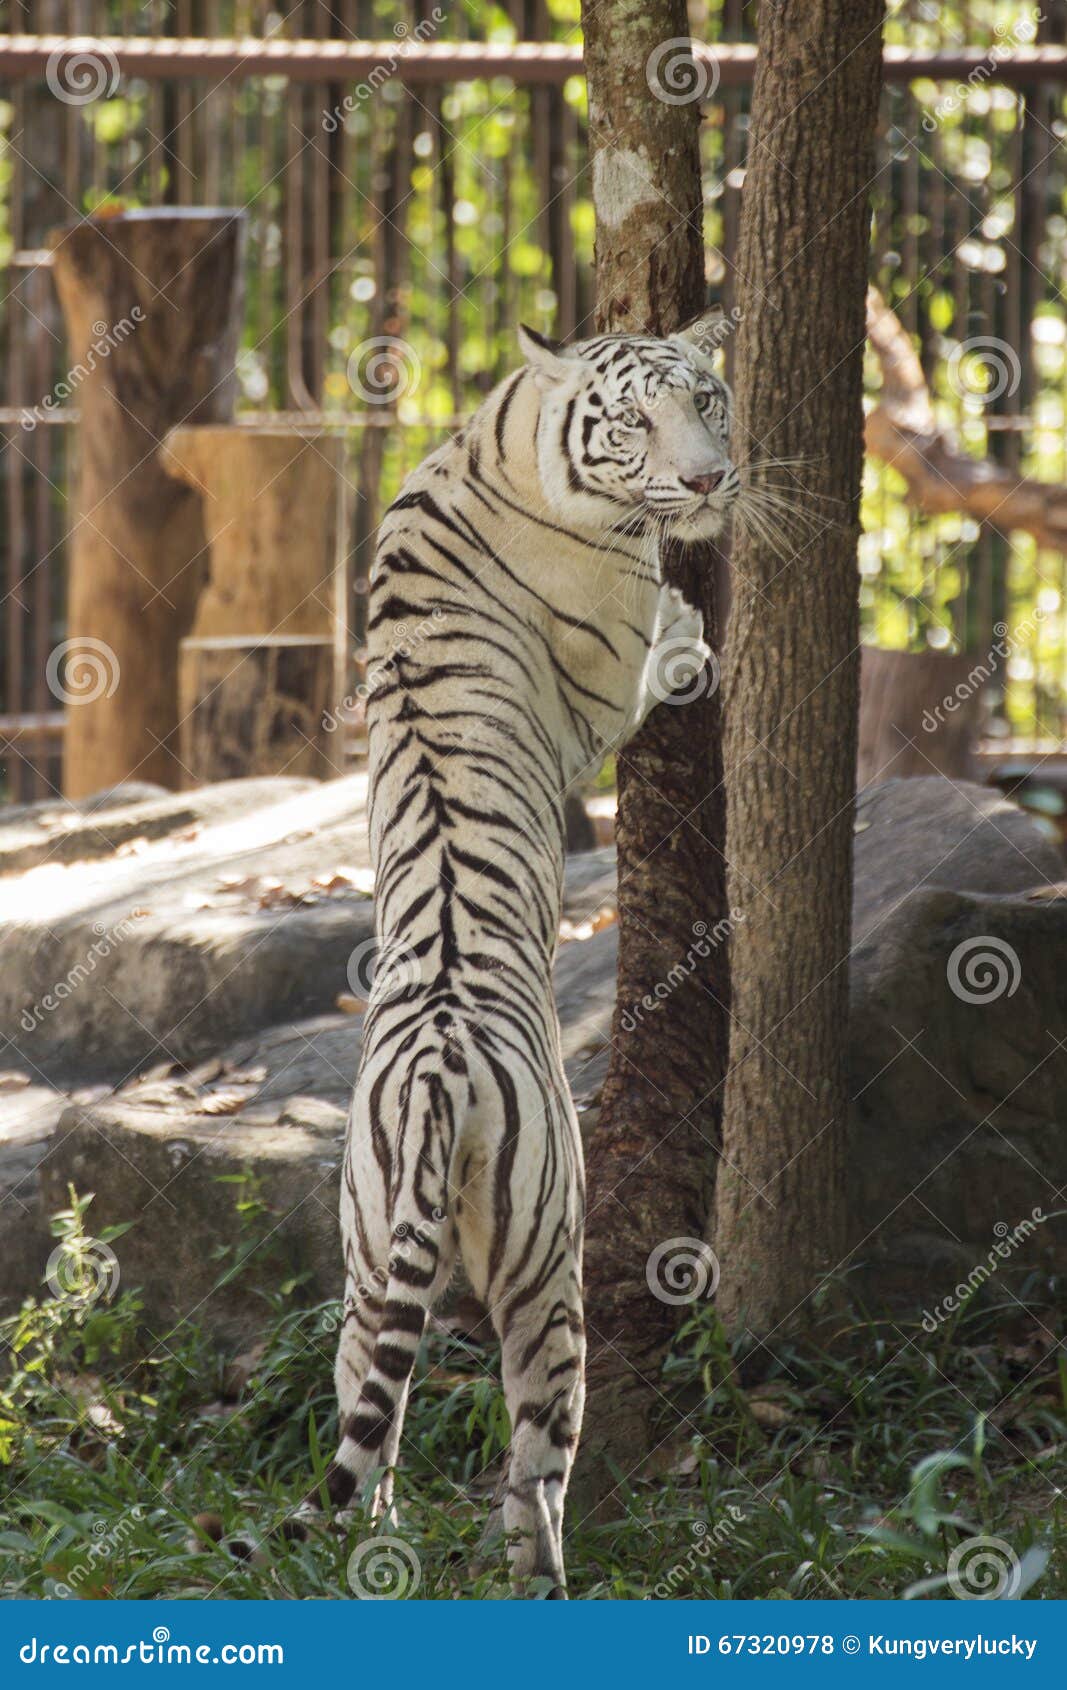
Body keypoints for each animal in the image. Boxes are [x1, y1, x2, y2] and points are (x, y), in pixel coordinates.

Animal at [321, 318, 738, 1597]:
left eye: (709, 398)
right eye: (639, 421)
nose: (711, 479)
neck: (503, 434)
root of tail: (440, 1069)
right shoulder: (605, 682)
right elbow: (661, 655)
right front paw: (693, 636)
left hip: (363, 1269)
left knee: (371, 1436)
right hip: (551, 1277)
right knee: (532, 1475)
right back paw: (547, 1578)